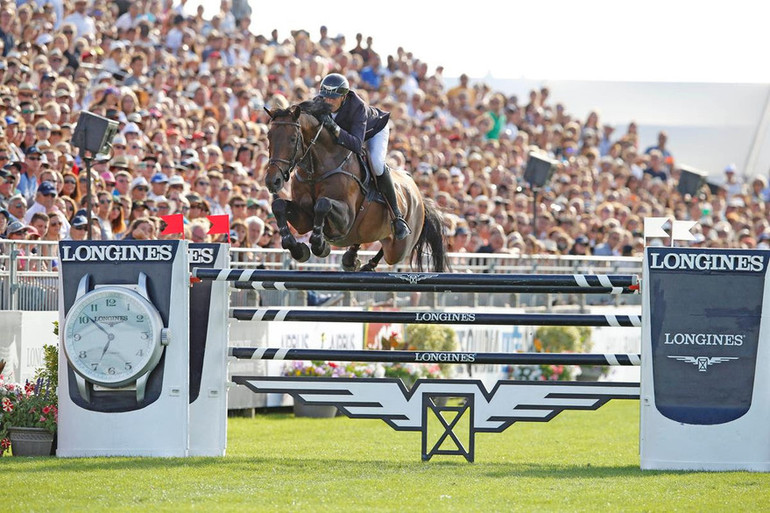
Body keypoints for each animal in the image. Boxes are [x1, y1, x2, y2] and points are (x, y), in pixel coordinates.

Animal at [264, 98, 448, 272]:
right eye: (269, 137)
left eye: (292, 139)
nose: (273, 181)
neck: (315, 172)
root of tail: (418, 196)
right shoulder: (304, 219)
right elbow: (278, 205)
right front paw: (297, 249)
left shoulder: (345, 219)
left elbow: (323, 204)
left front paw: (320, 245)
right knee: (363, 239)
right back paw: (352, 259)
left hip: (399, 248)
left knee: (390, 250)